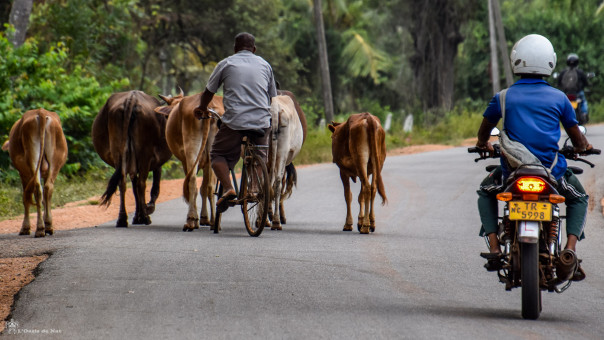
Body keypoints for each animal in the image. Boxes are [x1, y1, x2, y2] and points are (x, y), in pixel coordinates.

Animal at [92, 90, 172, 228]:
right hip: (145, 154)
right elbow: (154, 188)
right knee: (141, 184)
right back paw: (145, 217)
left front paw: (137, 216)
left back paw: (122, 219)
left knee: (122, 183)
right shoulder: (156, 164)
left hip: (118, 154)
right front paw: (146, 210)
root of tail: (131, 98)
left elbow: (134, 188)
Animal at [155, 92, 223, 231]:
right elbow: (205, 187)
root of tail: (207, 108)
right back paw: (215, 221)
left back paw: (191, 220)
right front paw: (205, 218)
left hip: (191, 148)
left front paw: (200, 218)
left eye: (167, 116)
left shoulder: (184, 160)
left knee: (192, 180)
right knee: (210, 186)